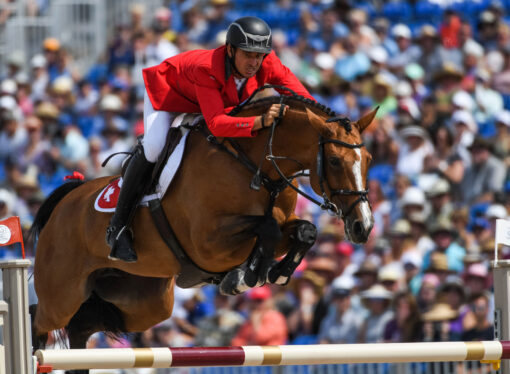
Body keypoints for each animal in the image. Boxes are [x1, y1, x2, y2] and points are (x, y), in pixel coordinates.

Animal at [30, 92, 374, 370]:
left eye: (369, 159)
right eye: (334, 160)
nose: (363, 226)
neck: (256, 165)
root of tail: (65, 201)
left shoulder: (273, 226)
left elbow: (304, 231)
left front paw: (273, 273)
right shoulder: (208, 244)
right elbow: (268, 229)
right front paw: (248, 275)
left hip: (145, 302)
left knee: (81, 326)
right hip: (63, 293)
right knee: (40, 320)